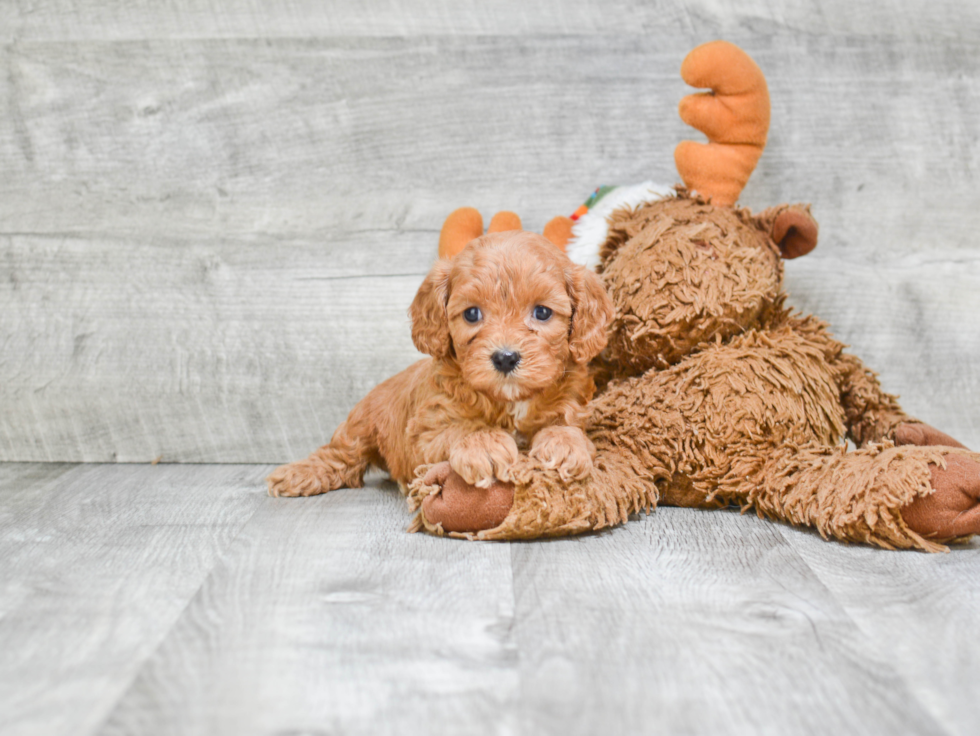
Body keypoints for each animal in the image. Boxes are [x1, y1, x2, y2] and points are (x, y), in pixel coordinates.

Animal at [264, 229, 608, 494]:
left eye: (543, 312)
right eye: (472, 314)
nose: (505, 358)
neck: (509, 401)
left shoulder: (572, 407)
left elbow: (565, 426)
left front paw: (565, 445)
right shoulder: (425, 433)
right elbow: (461, 428)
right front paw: (483, 444)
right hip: (360, 425)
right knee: (341, 454)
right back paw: (299, 474)